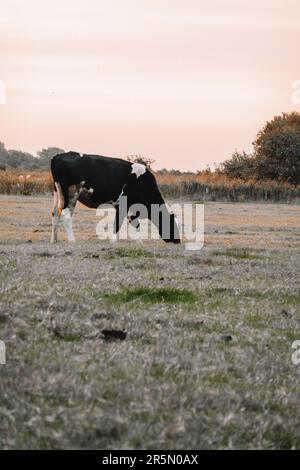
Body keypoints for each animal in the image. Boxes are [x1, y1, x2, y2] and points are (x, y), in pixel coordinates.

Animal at [50, 151, 180, 246]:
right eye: (173, 225)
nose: (178, 241)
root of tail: (59, 156)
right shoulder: (122, 204)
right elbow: (120, 223)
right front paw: (116, 241)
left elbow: (131, 224)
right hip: (71, 193)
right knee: (66, 214)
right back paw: (72, 240)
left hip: (59, 192)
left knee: (55, 213)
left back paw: (54, 240)